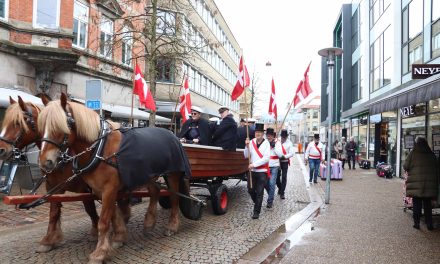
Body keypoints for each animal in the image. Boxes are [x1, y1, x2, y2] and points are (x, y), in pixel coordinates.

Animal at [0, 96, 102, 253]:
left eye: (17, 122)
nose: (1, 150)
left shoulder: (85, 188)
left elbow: (89, 208)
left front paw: (96, 231)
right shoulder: (53, 186)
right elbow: (54, 211)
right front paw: (49, 240)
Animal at [37, 93, 183, 264]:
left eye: (62, 126)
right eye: (41, 127)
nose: (45, 162)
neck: (100, 149)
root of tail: (171, 134)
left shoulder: (109, 189)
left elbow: (103, 221)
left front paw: (100, 253)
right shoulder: (100, 190)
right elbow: (112, 214)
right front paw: (118, 238)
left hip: (172, 174)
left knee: (174, 197)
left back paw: (172, 226)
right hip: (149, 175)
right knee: (155, 191)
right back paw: (149, 223)